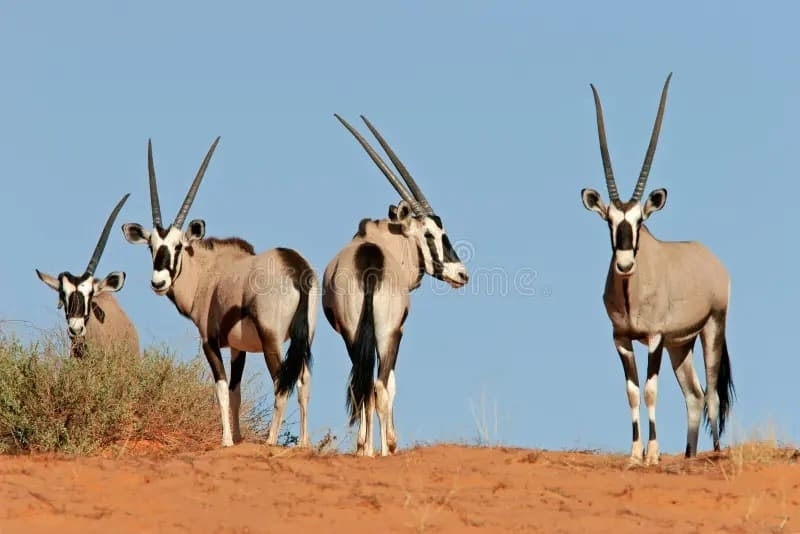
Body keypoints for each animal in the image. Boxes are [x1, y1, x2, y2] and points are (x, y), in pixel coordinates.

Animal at [120, 138, 318, 448]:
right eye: (151, 246)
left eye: (178, 246)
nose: (159, 282)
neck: (208, 272)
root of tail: (295, 267)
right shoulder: (238, 348)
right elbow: (236, 392)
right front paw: (236, 437)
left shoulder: (210, 342)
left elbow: (222, 390)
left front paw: (226, 441)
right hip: (305, 339)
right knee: (303, 381)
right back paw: (303, 443)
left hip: (272, 340)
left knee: (281, 383)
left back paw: (271, 440)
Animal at [318, 115, 468, 458]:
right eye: (431, 234)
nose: (461, 273)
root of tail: (370, 265)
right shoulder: (398, 331)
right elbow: (391, 385)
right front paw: (388, 444)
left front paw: (366, 448)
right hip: (388, 333)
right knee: (379, 386)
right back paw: (386, 449)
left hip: (353, 334)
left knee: (363, 384)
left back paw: (365, 449)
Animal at [580, 73, 736, 466]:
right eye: (610, 222)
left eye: (639, 221)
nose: (624, 264)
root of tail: (711, 259)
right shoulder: (621, 339)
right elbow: (632, 391)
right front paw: (635, 453)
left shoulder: (653, 338)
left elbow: (650, 390)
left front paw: (652, 452)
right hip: (681, 344)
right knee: (695, 394)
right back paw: (689, 454)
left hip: (712, 328)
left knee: (712, 392)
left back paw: (712, 453)